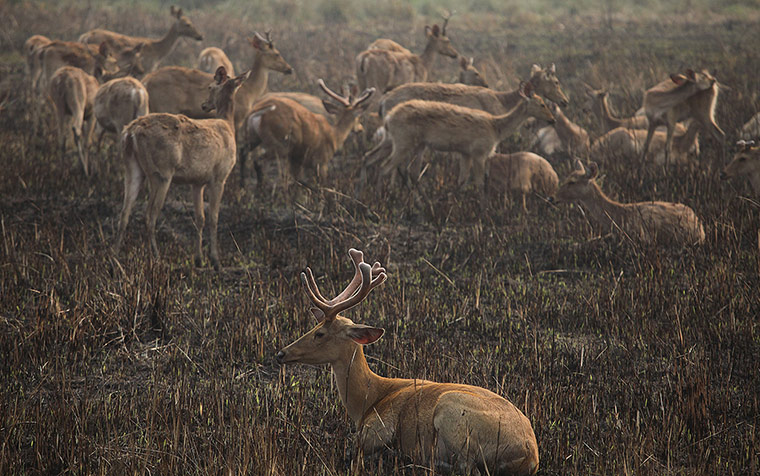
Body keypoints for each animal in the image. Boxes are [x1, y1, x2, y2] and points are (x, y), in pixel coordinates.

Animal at [116, 67, 249, 271]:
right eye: (210, 86)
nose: (204, 105)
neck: (228, 125)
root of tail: (130, 133)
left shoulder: (197, 182)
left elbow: (200, 218)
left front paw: (199, 259)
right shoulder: (219, 176)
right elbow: (214, 217)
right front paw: (215, 261)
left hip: (132, 168)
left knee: (124, 212)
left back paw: (114, 256)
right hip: (161, 171)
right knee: (149, 214)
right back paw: (156, 257)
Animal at [242, 80, 374, 185]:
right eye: (359, 117)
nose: (360, 128)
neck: (335, 135)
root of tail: (257, 111)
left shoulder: (296, 159)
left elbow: (296, 181)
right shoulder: (321, 161)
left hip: (253, 137)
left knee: (242, 153)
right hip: (281, 143)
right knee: (259, 161)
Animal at [276, 248, 540, 476]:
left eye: (320, 334)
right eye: (315, 326)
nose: (281, 353)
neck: (367, 400)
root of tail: (530, 454)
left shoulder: (377, 429)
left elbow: (354, 451)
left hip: (451, 411)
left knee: (467, 468)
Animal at [367, 81, 555, 194]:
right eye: (542, 104)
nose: (552, 119)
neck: (496, 126)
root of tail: (388, 115)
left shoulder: (466, 153)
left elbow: (462, 181)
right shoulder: (479, 153)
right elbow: (480, 183)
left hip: (404, 143)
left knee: (378, 161)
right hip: (404, 144)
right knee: (388, 167)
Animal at [554, 160, 705, 245]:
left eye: (572, 182)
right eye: (567, 177)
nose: (552, 198)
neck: (618, 217)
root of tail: (700, 229)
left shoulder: (639, 234)